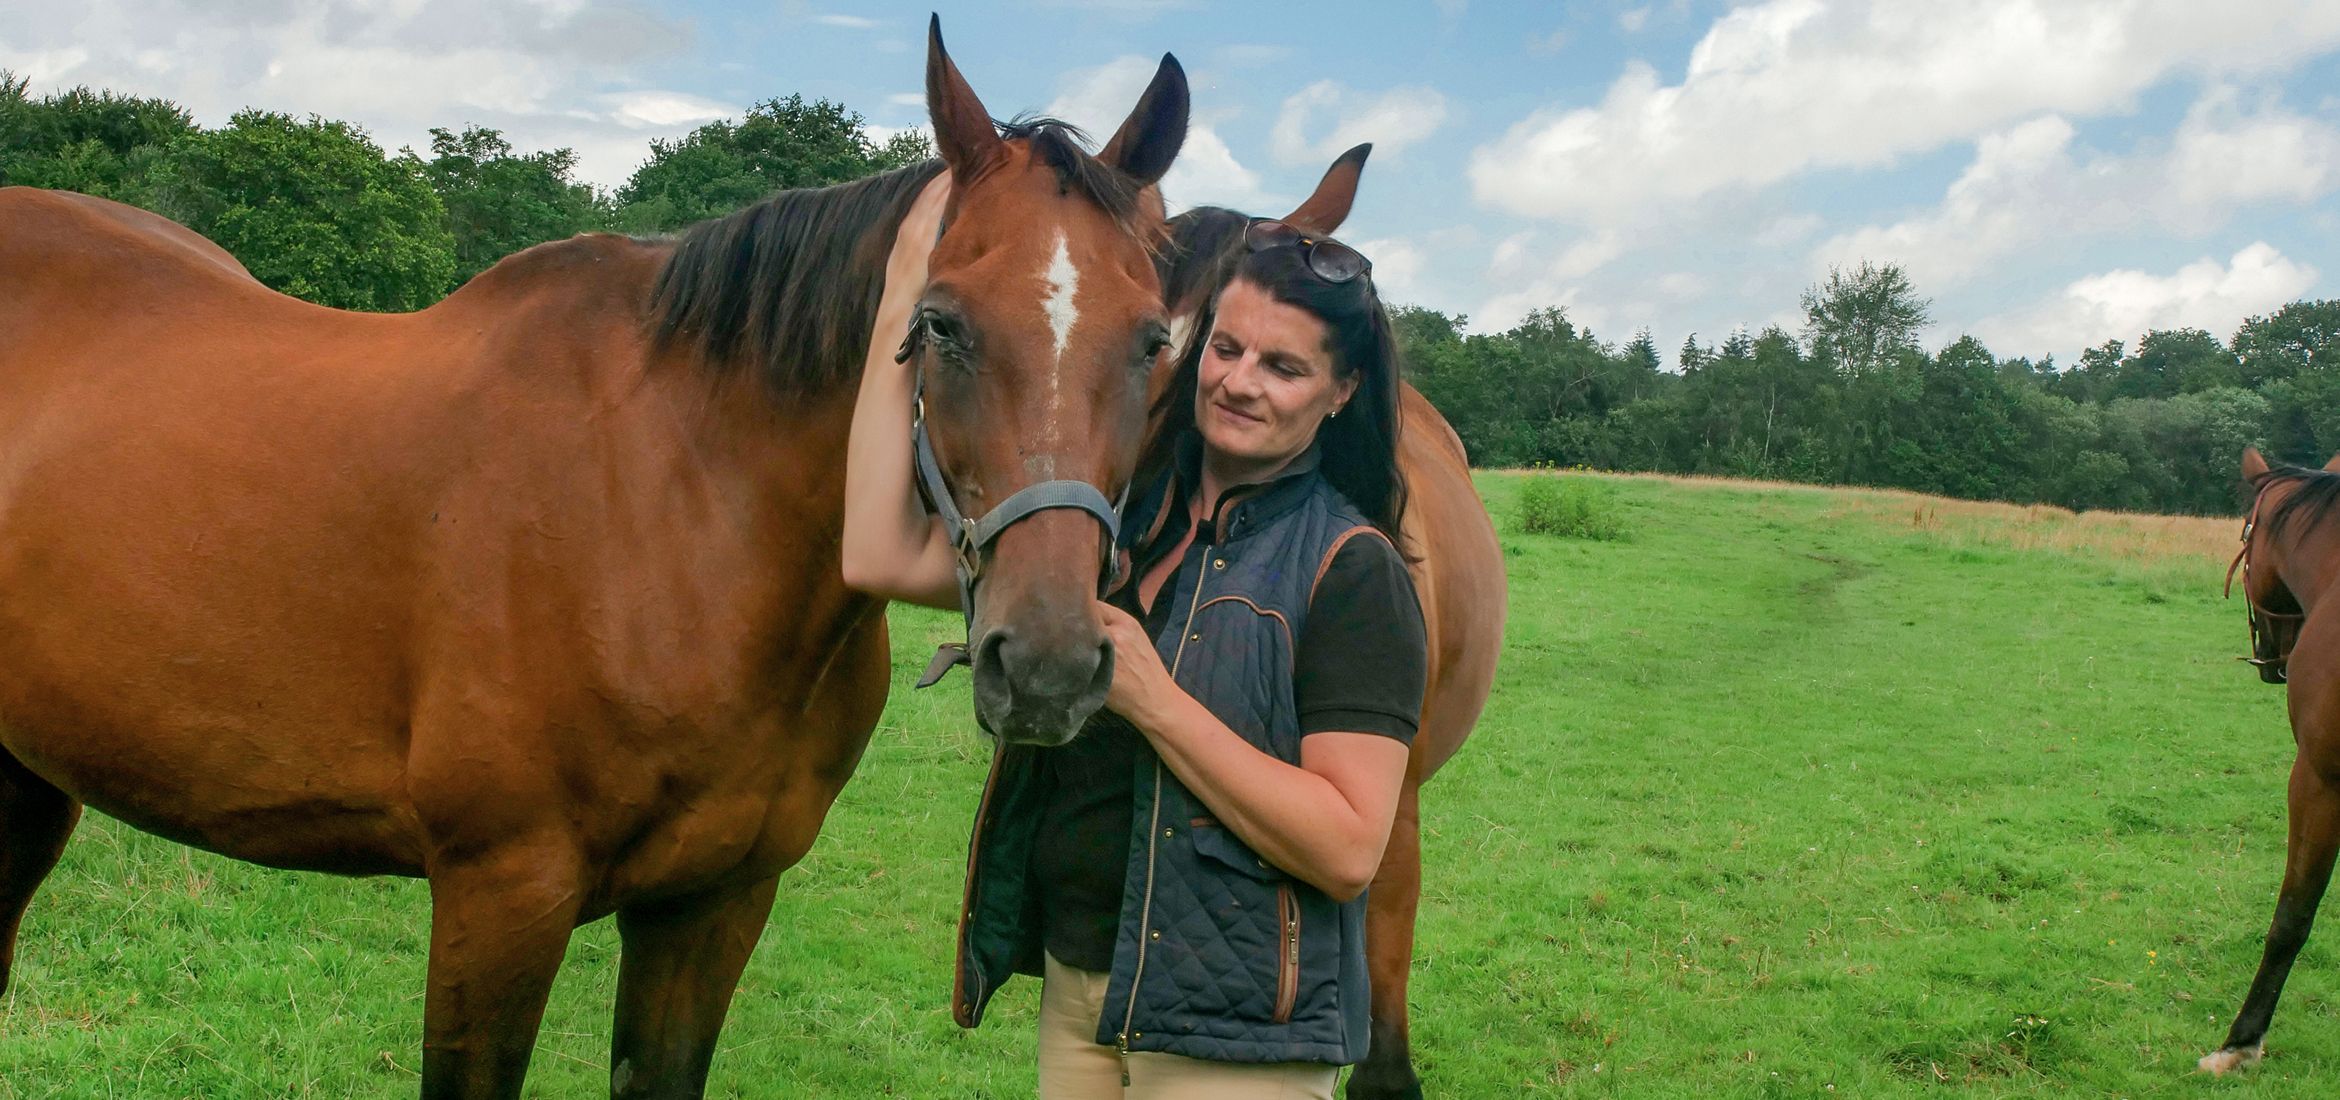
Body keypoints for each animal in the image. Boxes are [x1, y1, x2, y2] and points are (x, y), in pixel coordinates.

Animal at [0, 19, 1179, 1100]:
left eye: (1154, 339)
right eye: (939, 324)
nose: (1049, 667)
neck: (678, 502)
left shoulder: (715, 903)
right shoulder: (502, 894)